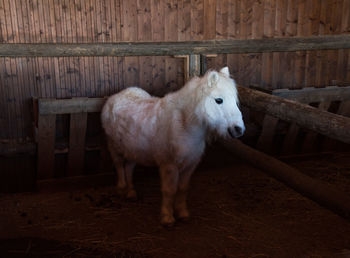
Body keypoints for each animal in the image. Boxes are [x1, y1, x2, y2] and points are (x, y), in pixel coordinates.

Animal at [100, 66, 243, 226]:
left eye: (235, 101)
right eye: (219, 100)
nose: (239, 129)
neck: (184, 124)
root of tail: (115, 96)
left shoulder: (190, 165)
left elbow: (183, 189)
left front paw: (182, 213)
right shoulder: (169, 166)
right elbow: (170, 190)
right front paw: (167, 217)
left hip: (132, 150)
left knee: (129, 168)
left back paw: (131, 192)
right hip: (114, 147)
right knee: (119, 166)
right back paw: (121, 188)